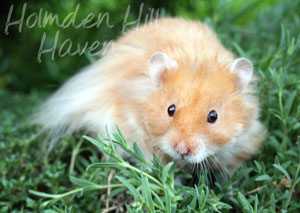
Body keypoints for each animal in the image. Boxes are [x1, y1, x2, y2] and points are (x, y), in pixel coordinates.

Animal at [36, 17, 266, 175]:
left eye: (213, 116)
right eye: (170, 110)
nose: (182, 149)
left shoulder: (242, 145)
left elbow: (230, 173)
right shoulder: (136, 135)